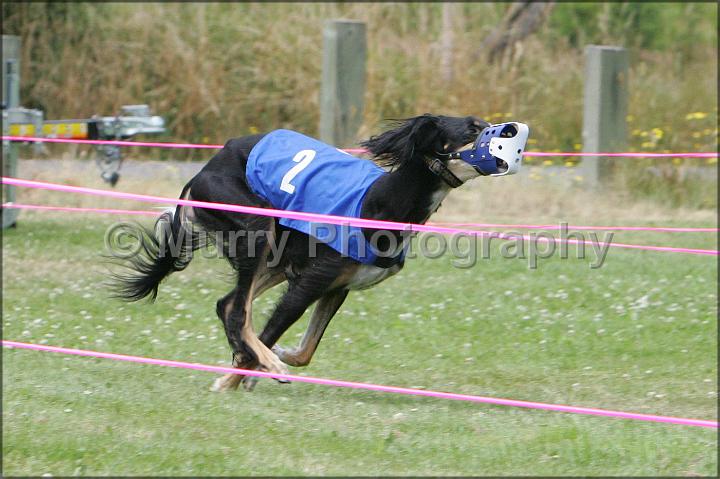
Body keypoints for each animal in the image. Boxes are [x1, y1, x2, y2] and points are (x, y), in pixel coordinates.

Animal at [111, 114, 491, 391]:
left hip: (277, 255)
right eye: (472, 129)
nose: (504, 132)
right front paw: (235, 379)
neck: (378, 200)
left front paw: (262, 361)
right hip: (256, 227)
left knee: (229, 304)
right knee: (237, 311)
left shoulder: (337, 287)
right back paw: (264, 363)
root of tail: (206, 168)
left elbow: (306, 351)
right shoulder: (311, 282)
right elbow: (272, 331)